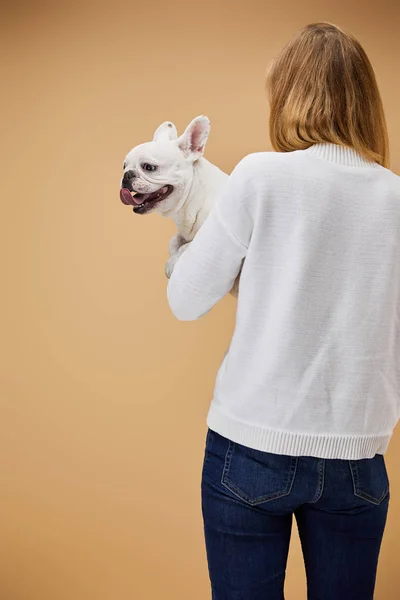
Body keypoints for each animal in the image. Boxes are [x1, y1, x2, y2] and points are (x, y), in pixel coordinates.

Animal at [119, 115, 238, 296]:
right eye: (124, 166)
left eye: (149, 167)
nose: (126, 175)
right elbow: (174, 241)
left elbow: (188, 246)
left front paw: (171, 263)